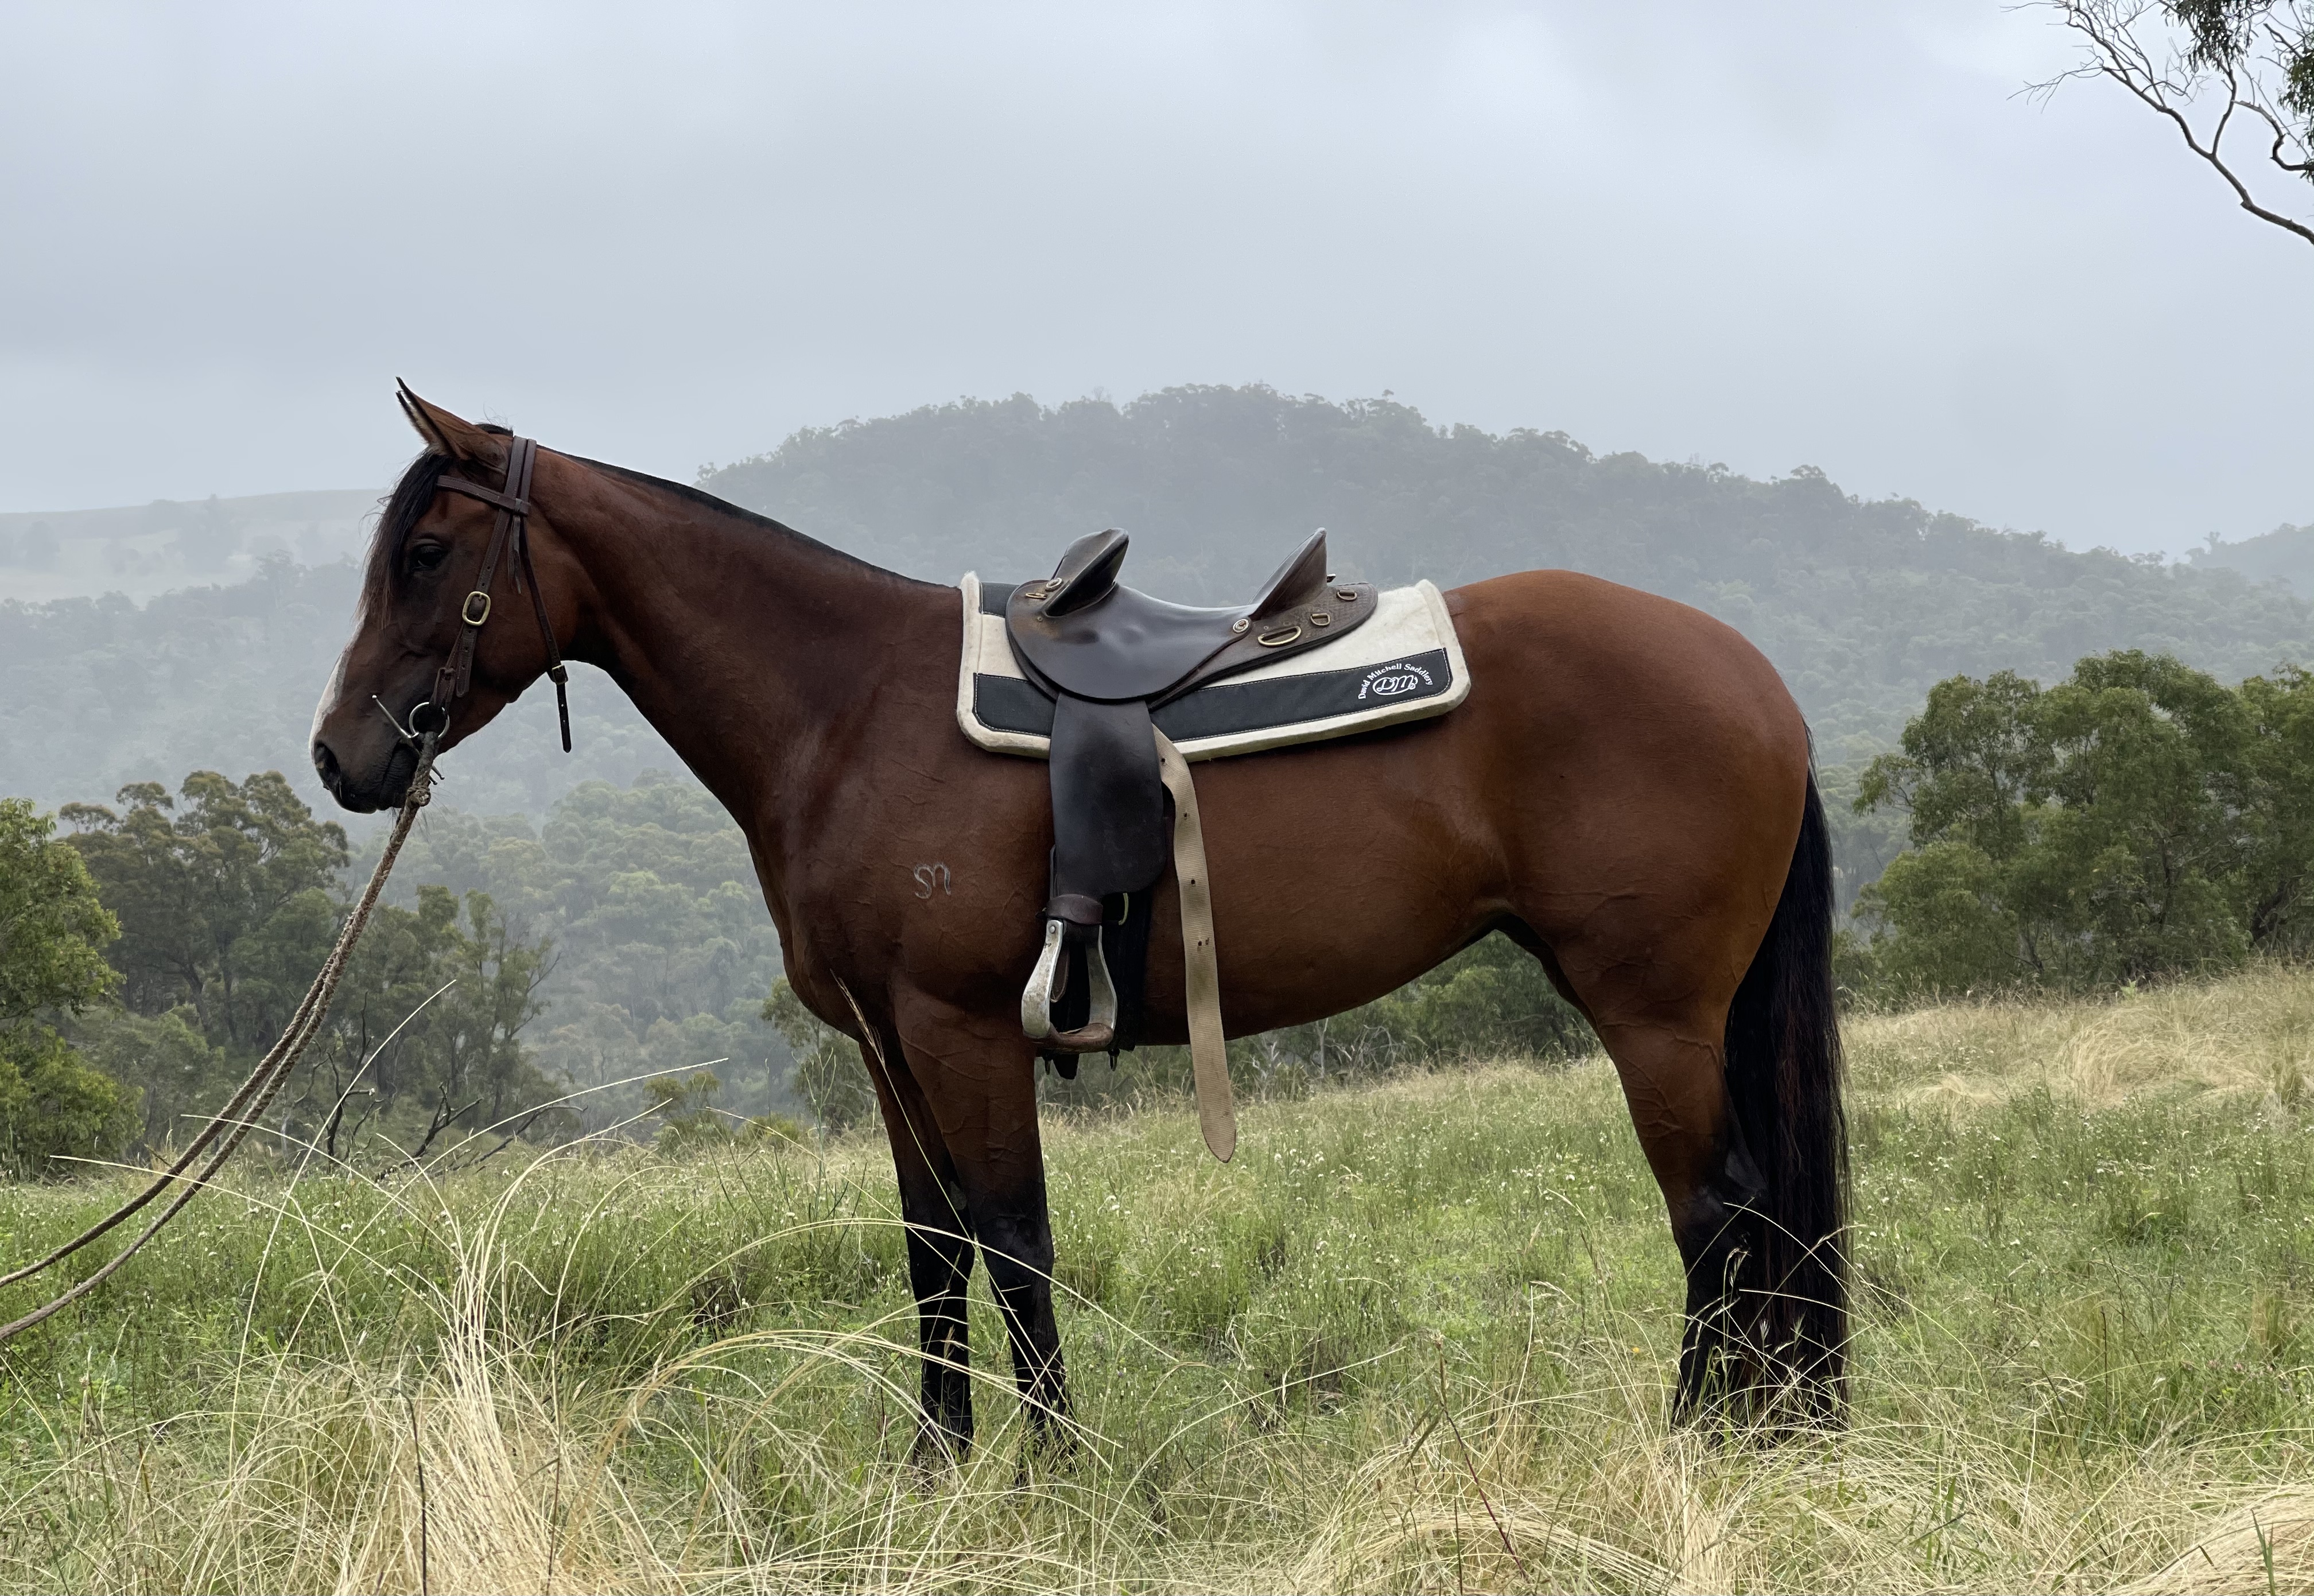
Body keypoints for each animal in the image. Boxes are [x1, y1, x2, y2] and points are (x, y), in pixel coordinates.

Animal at [310, 389, 1849, 1456]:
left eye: (428, 550)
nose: (343, 758)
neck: (846, 712)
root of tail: (1758, 680)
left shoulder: (965, 1029)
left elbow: (1012, 1239)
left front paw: (1050, 1469)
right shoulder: (886, 1045)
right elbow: (933, 1247)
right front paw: (936, 1465)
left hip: (1653, 1012)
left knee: (1718, 1213)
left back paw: (1693, 1440)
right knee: (1755, 1216)